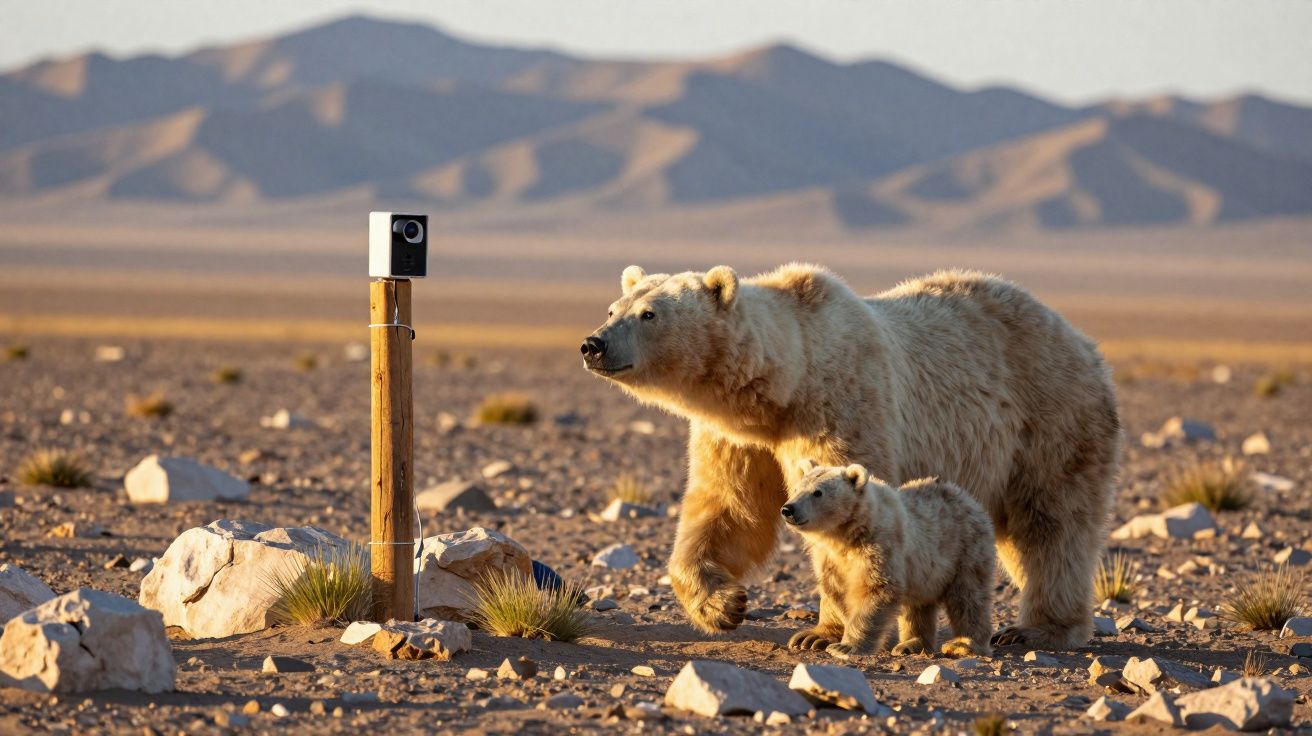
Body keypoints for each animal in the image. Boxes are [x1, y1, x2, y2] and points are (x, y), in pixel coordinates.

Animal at [781, 461, 995, 659]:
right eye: (797, 489)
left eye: (818, 492)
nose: (788, 509)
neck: (845, 535)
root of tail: (967, 498)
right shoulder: (828, 557)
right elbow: (837, 591)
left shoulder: (880, 545)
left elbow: (877, 589)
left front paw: (845, 647)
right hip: (924, 574)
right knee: (917, 607)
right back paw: (910, 644)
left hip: (966, 549)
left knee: (968, 598)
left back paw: (964, 644)